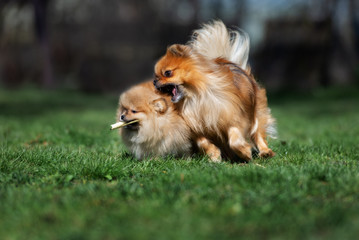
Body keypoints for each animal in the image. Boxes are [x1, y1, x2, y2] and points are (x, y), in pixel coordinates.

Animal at [154, 20, 276, 162]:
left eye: (167, 73)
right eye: (156, 76)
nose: (154, 81)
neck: (196, 97)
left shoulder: (234, 118)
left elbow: (235, 139)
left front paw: (244, 152)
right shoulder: (196, 127)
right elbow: (203, 142)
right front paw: (214, 155)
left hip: (256, 114)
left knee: (258, 133)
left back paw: (265, 152)